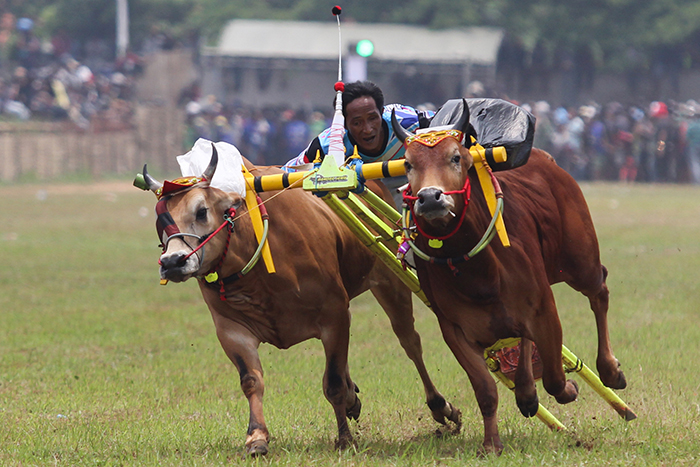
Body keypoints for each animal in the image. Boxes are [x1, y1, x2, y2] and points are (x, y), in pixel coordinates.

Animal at [140, 147, 462, 458]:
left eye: (201, 210)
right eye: (160, 219)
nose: (172, 262)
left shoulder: (335, 315)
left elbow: (333, 382)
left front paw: (344, 438)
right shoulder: (232, 330)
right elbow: (251, 381)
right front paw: (256, 437)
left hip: (389, 281)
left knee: (410, 343)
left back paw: (440, 407)